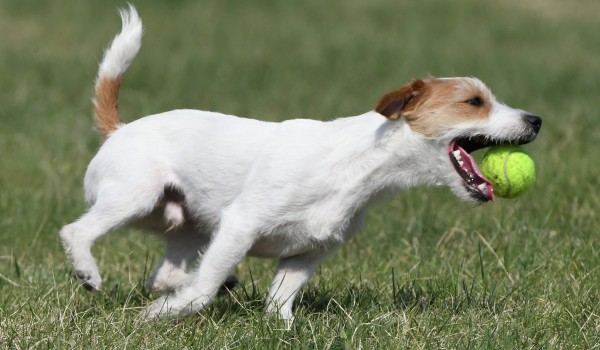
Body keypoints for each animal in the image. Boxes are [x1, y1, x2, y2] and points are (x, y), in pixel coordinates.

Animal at [59, 5, 540, 322]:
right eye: (474, 101)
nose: (535, 120)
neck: (357, 167)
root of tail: (119, 129)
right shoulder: (241, 225)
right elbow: (204, 288)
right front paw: (167, 314)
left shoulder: (308, 251)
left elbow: (279, 301)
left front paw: (282, 328)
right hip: (134, 197)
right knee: (77, 231)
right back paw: (89, 273)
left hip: (186, 227)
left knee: (165, 273)